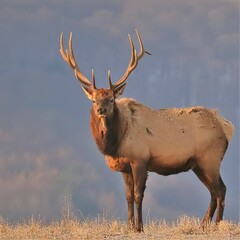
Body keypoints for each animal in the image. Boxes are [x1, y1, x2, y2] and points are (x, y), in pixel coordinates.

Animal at [59, 29, 234, 232]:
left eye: (111, 99)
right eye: (94, 100)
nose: (100, 110)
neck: (116, 142)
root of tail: (226, 126)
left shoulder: (140, 160)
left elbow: (138, 195)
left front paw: (139, 227)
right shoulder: (125, 167)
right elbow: (127, 197)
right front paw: (129, 226)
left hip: (210, 159)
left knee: (221, 190)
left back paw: (217, 225)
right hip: (198, 164)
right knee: (213, 192)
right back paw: (204, 224)